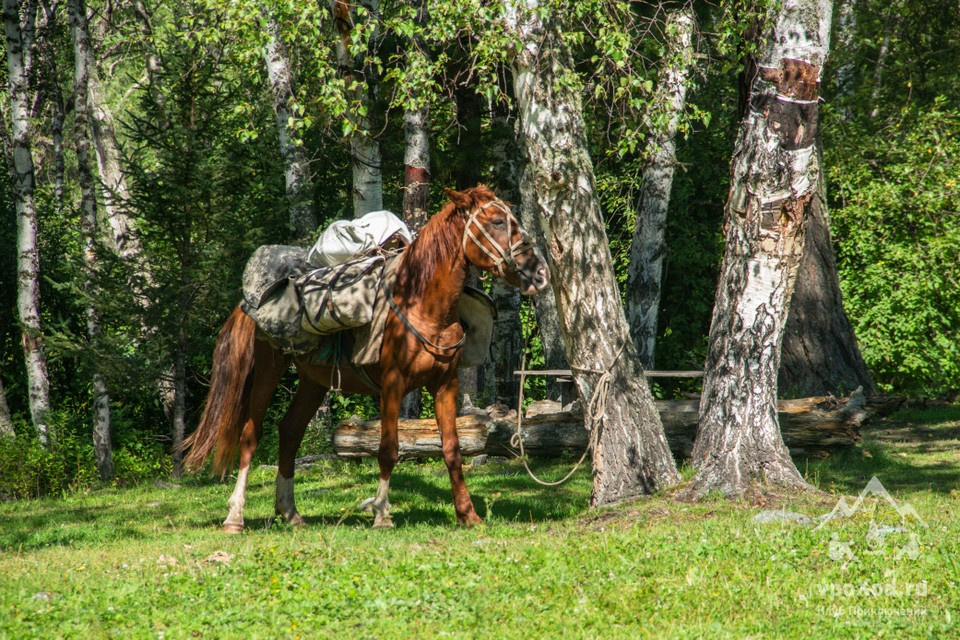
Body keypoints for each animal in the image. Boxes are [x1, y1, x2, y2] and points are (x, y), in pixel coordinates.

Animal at [184, 185, 552, 528]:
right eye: (498, 221)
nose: (540, 274)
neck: (421, 304)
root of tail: (251, 302)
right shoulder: (392, 383)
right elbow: (388, 449)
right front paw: (382, 514)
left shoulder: (445, 385)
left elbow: (452, 450)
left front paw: (467, 514)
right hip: (267, 370)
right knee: (251, 435)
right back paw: (235, 517)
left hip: (313, 381)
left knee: (289, 432)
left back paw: (290, 513)